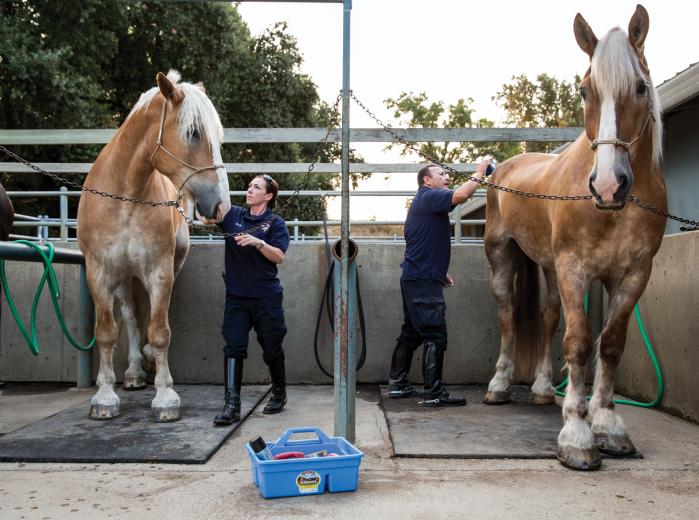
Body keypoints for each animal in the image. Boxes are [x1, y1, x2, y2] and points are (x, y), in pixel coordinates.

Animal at [78, 70, 230, 421]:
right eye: (193, 132)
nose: (220, 207)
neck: (125, 197)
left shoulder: (160, 270)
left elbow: (159, 331)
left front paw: (165, 397)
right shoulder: (98, 273)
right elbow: (106, 332)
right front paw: (104, 397)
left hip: (169, 264)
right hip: (122, 277)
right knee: (131, 315)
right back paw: (133, 372)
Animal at [482, 4, 666, 470]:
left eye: (640, 87)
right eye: (584, 91)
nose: (608, 186)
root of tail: (504, 168)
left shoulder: (634, 275)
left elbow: (611, 345)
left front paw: (608, 425)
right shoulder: (574, 269)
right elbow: (580, 342)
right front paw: (577, 434)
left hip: (548, 268)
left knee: (547, 318)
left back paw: (543, 390)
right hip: (503, 258)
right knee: (507, 315)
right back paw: (498, 386)